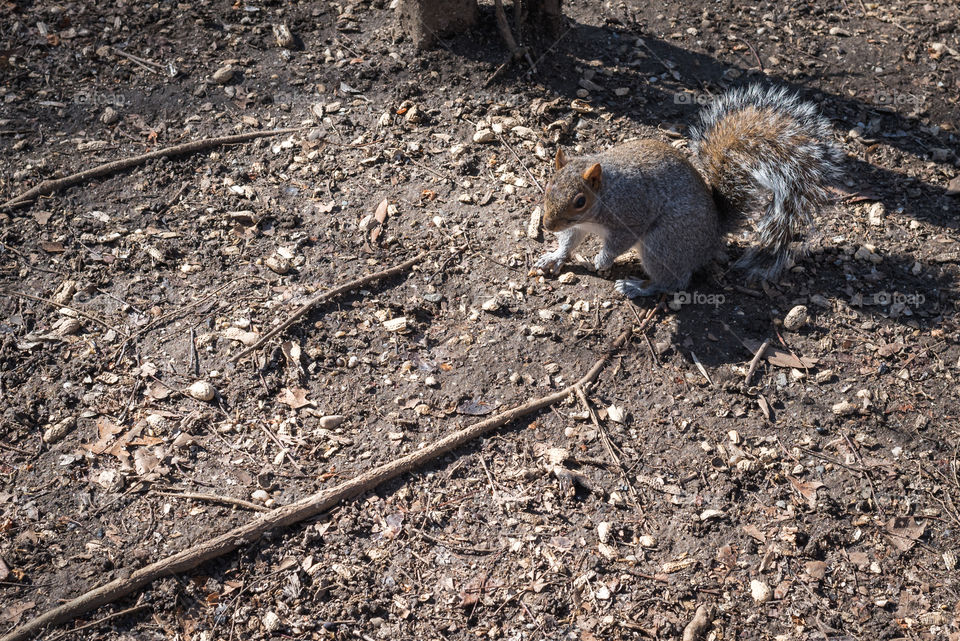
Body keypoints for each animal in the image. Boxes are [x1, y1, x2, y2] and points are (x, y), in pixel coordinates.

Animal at [533, 84, 843, 297]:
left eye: (580, 201)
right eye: (549, 185)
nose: (547, 225)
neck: (605, 196)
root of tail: (713, 235)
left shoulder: (631, 213)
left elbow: (619, 242)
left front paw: (602, 259)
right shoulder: (576, 226)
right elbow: (569, 240)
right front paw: (554, 256)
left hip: (664, 243)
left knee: (674, 282)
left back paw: (638, 287)